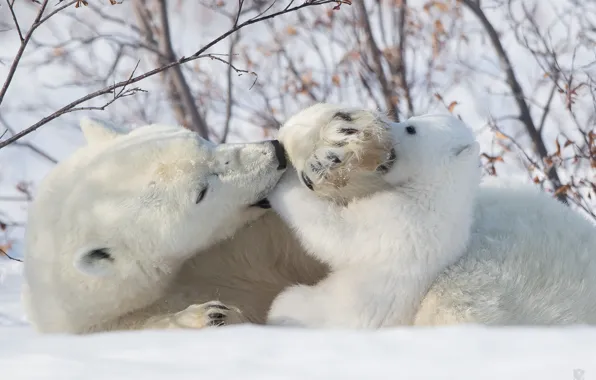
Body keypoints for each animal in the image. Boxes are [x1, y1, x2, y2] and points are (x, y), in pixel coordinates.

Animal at [25, 104, 596, 336]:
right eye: (200, 192)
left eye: (204, 141)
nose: (271, 153)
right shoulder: (100, 320)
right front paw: (210, 316)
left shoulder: (253, 238)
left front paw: (337, 137)